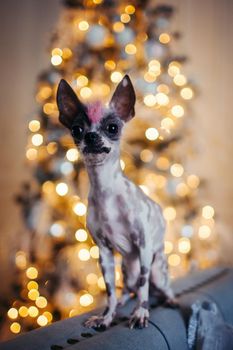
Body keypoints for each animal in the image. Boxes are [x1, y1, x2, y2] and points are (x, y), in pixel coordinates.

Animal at [56, 75, 173, 330]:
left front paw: (140, 313)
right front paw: (106, 317)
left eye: (113, 128)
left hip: (156, 269)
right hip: (125, 271)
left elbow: (143, 287)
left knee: (155, 287)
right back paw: (121, 302)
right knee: (128, 289)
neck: (106, 190)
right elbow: (109, 291)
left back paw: (169, 299)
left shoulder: (143, 247)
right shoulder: (104, 253)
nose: (90, 136)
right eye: (76, 130)